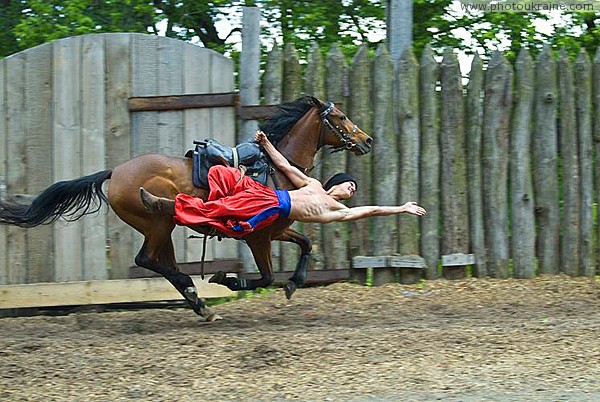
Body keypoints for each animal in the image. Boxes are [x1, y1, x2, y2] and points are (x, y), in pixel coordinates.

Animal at [0, 95, 372, 320]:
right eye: (340, 117)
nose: (366, 140)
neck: (277, 168)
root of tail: (115, 172)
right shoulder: (258, 237)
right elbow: (266, 275)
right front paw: (228, 280)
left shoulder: (277, 230)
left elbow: (305, 244)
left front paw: (295, 282)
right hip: (158, 225)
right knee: (147, 260)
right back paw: (196, 292)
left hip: (160, 230)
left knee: (160, 263)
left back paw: (198, 302)